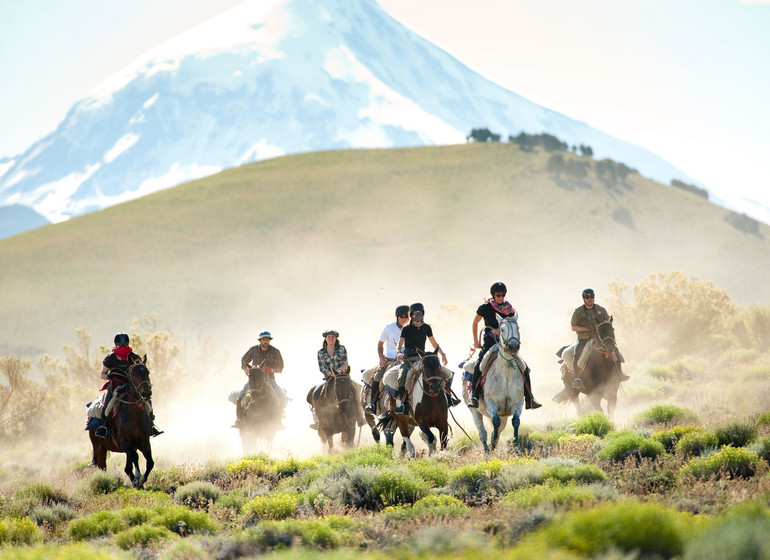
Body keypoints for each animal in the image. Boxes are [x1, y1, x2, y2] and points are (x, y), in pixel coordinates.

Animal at [89, 356, 154, 488]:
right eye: (133, 374)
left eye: (147, 372)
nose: (146, 393)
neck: (134, 415)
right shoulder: (123, 443)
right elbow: (135, 457)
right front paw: (138, 477)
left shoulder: (144, 442)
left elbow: (150, 462)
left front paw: (141, 480)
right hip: (99, 448)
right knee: (102, 467)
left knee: (127, 467)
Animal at [460, 312, 524, 452]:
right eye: (502, 329)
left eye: (518, 328)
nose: (513, 346)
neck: (506, 374)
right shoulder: (492, 403)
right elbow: (495, 422)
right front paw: (492, 443)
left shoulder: (517, 403)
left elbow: (515, 422)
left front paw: (516, 445)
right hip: (475, 411)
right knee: (482, 432)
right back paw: (486, 449)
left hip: (504, 415)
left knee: (499, 429)